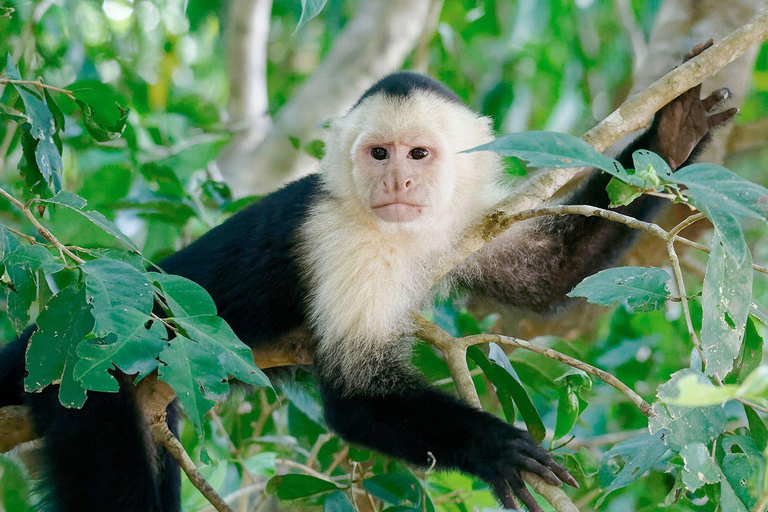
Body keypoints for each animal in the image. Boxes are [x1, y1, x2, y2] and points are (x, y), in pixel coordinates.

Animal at [0, 41, 736, 512]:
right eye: (379, 154)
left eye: (419, 155)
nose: (398, 182)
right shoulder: (344, 242)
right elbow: (354, 396)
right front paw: (495, 447)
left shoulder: (465, 219)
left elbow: (548, 277)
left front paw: (674, 135)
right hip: (77, 366)